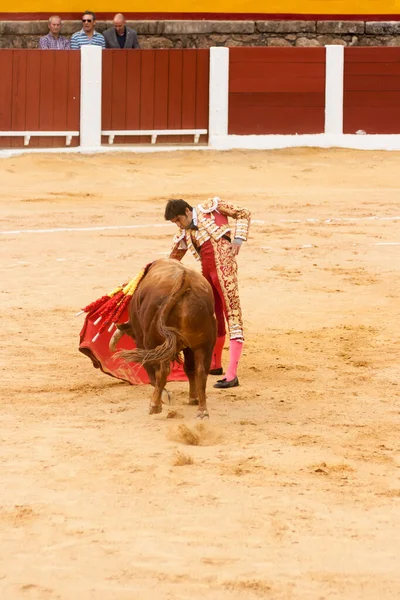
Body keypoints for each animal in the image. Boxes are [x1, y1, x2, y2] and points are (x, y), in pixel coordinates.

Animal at [108, 258, 216, 418]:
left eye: (133, 337)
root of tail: (184, 280)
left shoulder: (142, 341)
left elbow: (152, 372)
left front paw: (164, 396)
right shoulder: (189, 346)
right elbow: (190, 368)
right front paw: (193, 398)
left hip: (154, 342)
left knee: (161, 371)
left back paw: (155, 405)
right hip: (204, 345)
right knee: (201, 371)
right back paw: (202, 410)